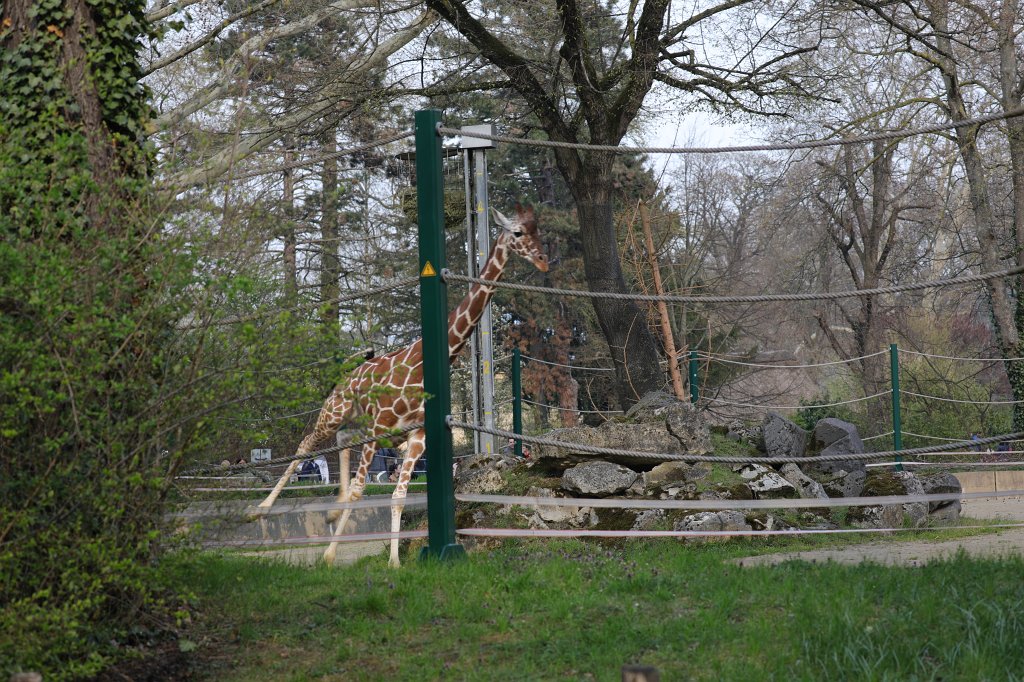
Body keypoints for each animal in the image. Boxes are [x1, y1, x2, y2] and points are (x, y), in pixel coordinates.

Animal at [254, 204, 548, 567]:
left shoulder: (415, 436)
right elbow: (360, 491)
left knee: (342, 443)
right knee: (307, 444)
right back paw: (261, 510)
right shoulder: (380, 430)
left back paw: (332, 512)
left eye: (538, 231)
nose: (543, 260)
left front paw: (394, 561)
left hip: (357, 423)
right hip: (335, 412)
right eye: (518, 233)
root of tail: (347, 375)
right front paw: (329, 553)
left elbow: (398, 495)